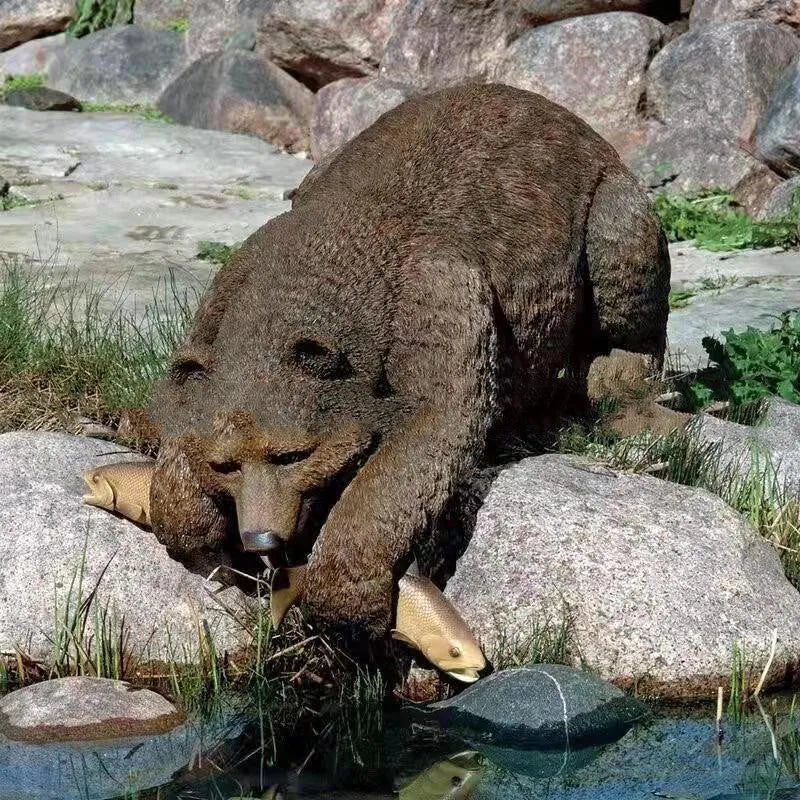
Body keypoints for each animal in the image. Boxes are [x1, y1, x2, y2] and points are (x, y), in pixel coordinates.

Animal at [144, 82, 671, 641]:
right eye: (226, 464)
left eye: (293, 454)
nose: (262, 540)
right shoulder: (221, 303)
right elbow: (181, 413)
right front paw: (204, 539)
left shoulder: (438, 297)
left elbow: (432, 431)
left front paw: (346, 605)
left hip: (609, 204)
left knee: (625, 268)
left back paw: (619, 384)